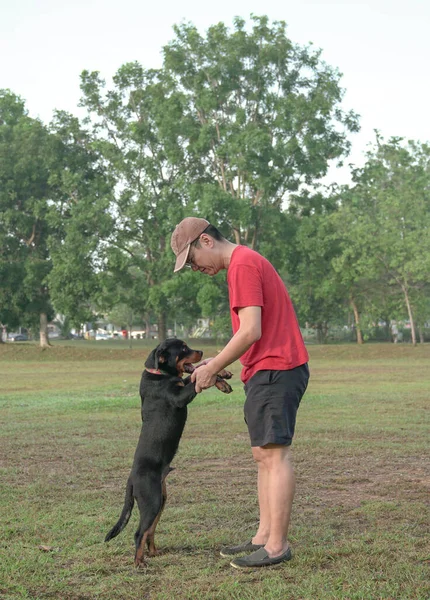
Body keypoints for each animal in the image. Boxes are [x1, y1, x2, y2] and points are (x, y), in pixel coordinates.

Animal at [104, 338, 232, 568]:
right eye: (183, 349)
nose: (201, 351)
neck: (160, 374)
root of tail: (131, 478)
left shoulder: (182, 384)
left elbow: (196, 374)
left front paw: (223, 377)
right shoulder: (180, 396)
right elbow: (195, 380)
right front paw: (220, 378)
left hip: (160, 501)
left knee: (149, 531)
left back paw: (153, 553)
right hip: (151, 500)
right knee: (139, 533)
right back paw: (139, 563)